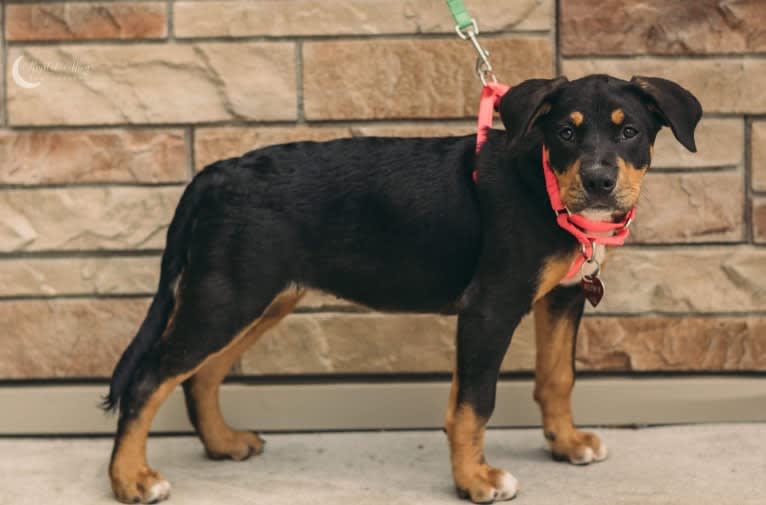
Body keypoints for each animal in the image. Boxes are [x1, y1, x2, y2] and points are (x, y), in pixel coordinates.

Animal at [103, 73, 704, 502]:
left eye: (629, 132)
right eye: (565, 132)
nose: (600, 182)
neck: (544, 184)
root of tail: (219, 172)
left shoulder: (562, 298)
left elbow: (556, 378)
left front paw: (567, 443)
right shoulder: (490, 306)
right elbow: (475, 402)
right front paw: (475, 481)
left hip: (260, 298)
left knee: (199, 376)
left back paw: (223, 444)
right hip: (229, 294)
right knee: (150, 379)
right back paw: (131, 480)